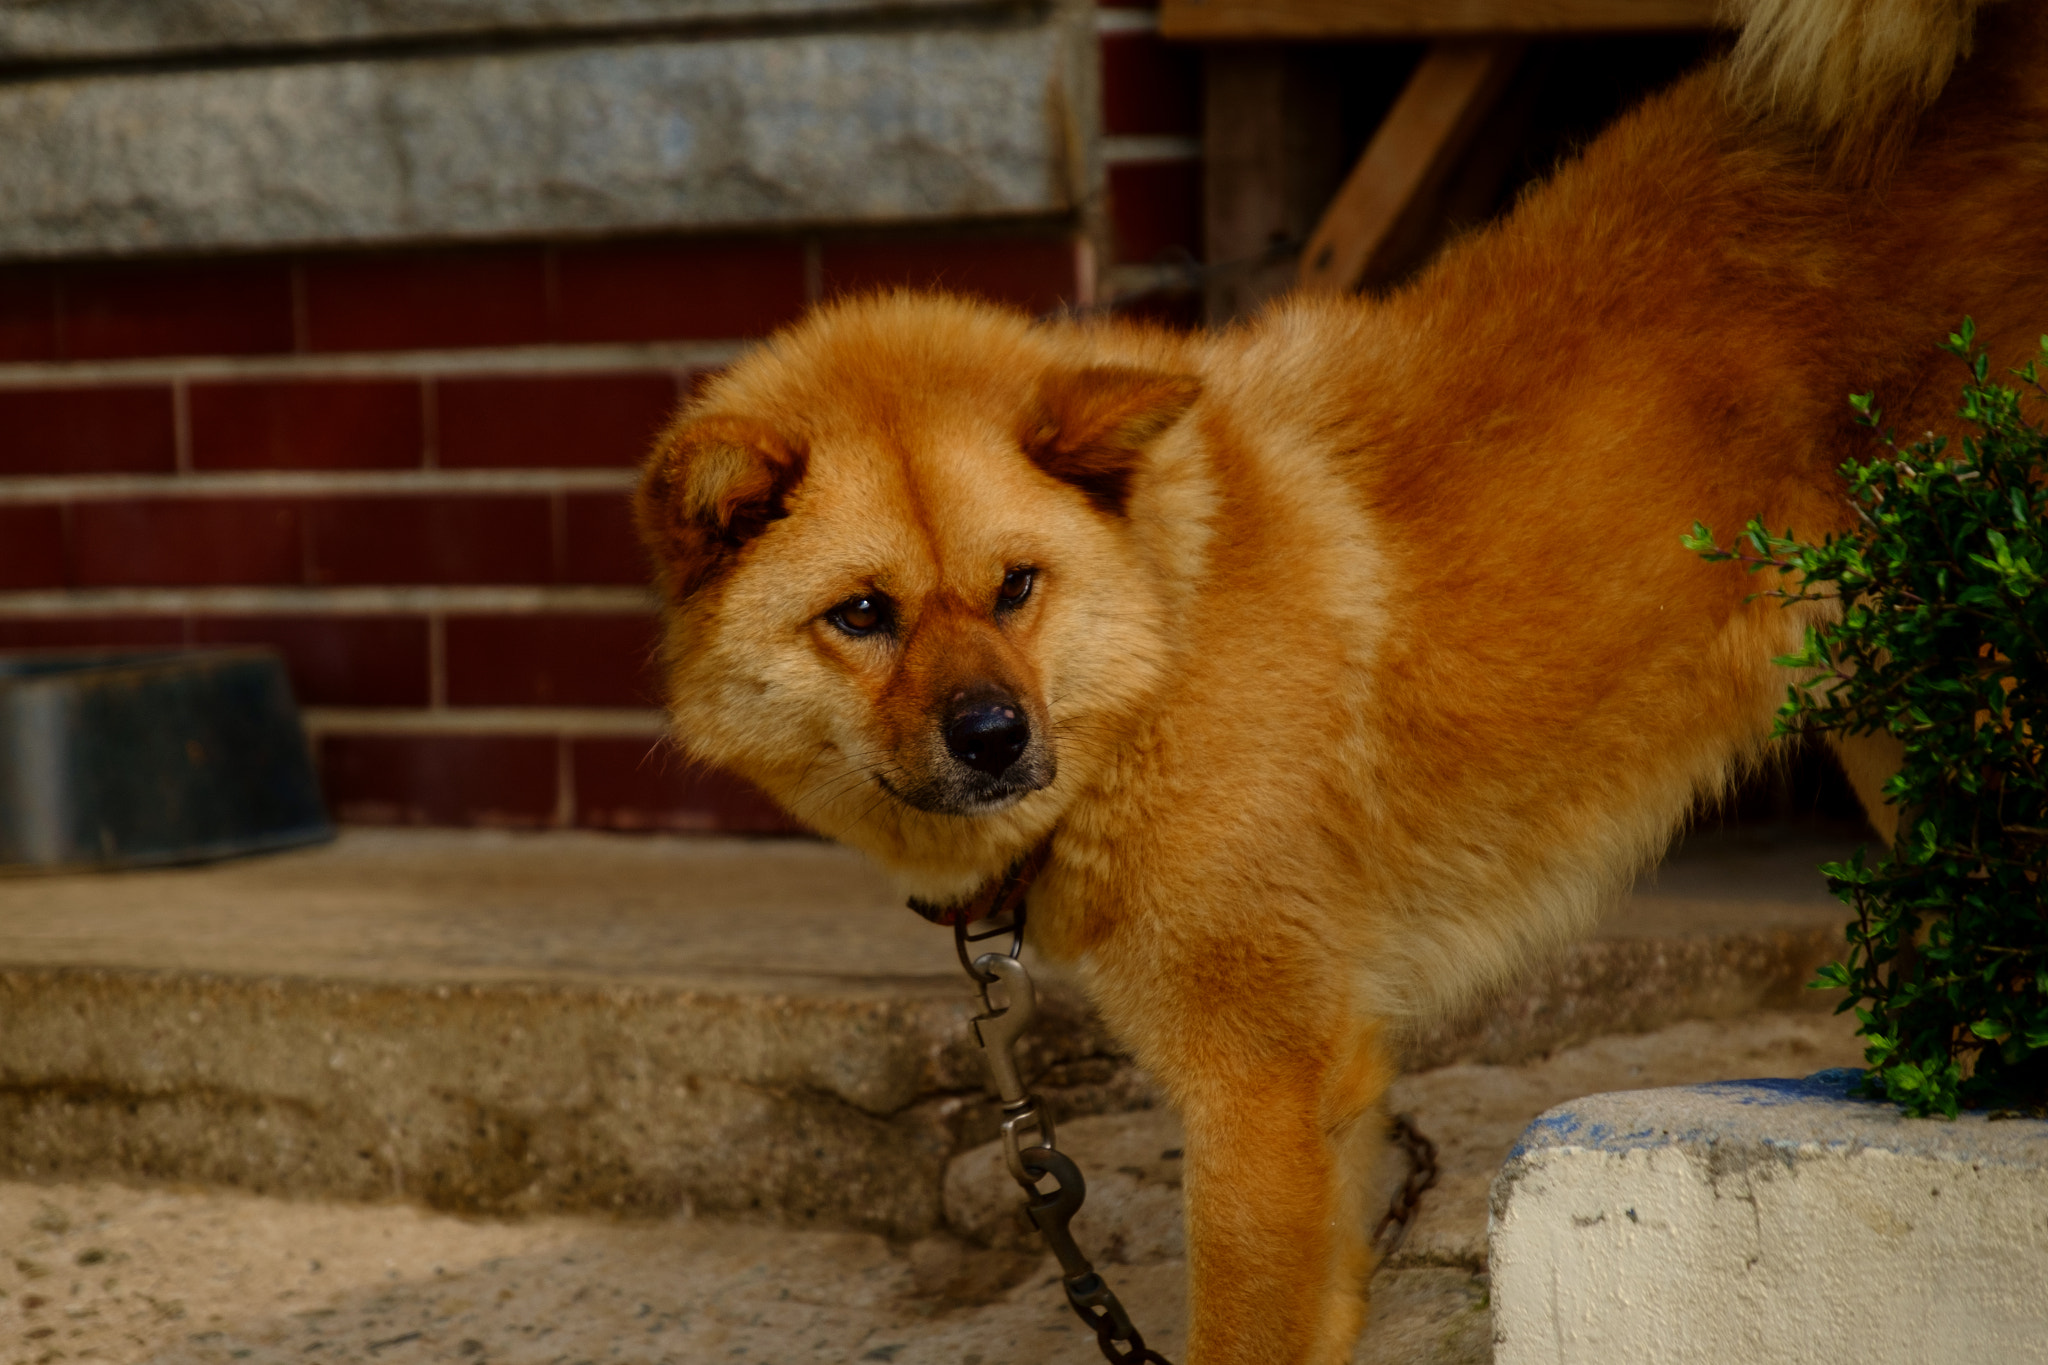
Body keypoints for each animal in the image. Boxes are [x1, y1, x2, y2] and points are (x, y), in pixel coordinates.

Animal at [634, 5, 2048, 1358]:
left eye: (1015, 587)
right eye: (861, 615)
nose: (991, 736)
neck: (1166, 640)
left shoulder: (1257, 1085)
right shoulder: (1324, 1097)